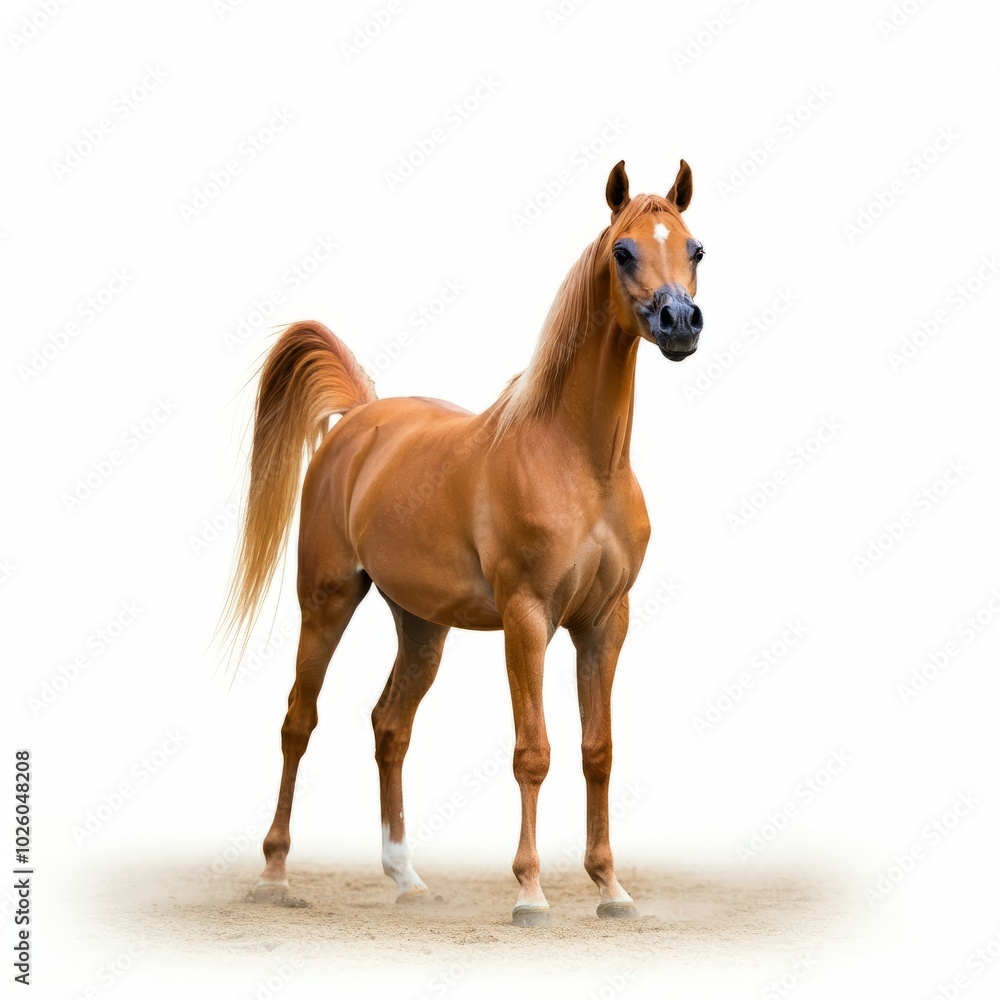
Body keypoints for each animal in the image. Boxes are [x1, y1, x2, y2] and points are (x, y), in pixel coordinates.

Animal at [223, 159, 705, 926]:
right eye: (624, 251)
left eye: (696, 250)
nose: (680, 322)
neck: (578, 460)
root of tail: (359, 420)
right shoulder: (528, 618)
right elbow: (533, 751)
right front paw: (531, 893)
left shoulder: (605, 622)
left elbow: (597, 751)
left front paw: (611, 889)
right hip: (325, 602)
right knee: (299, 721)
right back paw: (274, 875)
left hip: (421, 625)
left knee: (389, 726)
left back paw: (406, 879)